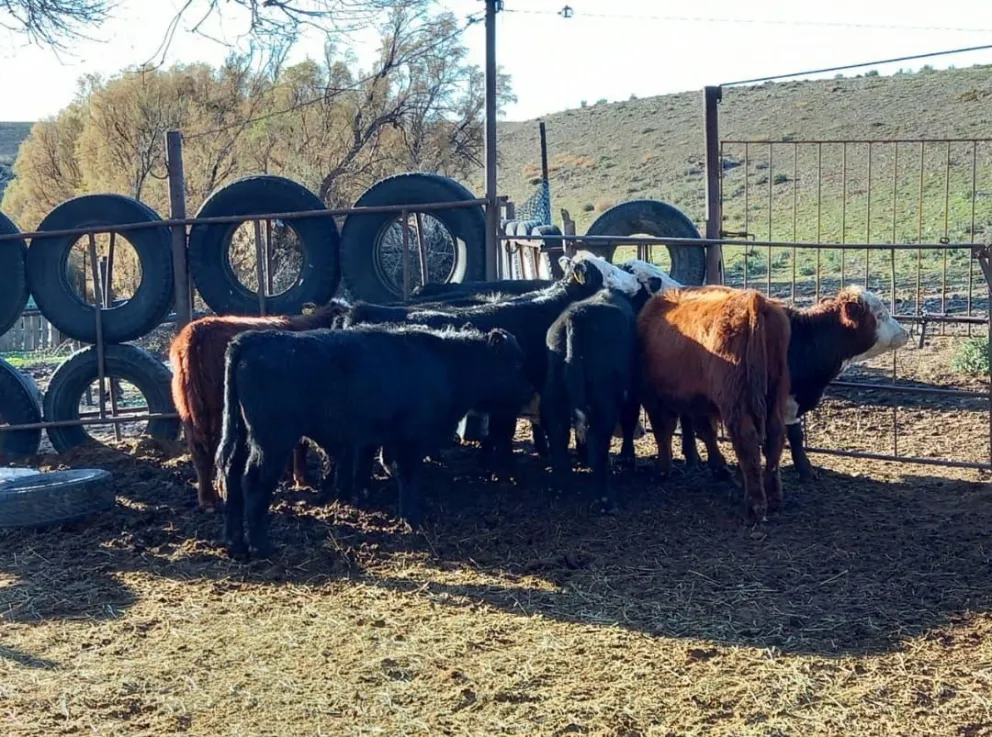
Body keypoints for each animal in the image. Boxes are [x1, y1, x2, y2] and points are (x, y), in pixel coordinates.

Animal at [168, 298, 351, 512]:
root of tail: (194, 332)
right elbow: (301, 445)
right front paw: (302, 480)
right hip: (218, 413)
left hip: (188, 412)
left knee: (199, 453)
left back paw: (206, 499)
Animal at [215, 323, 533, 560]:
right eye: (517, 364)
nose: (530, 393)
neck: (446, 362)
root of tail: (252, 339)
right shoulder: (410, 439)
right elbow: (407, 474)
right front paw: (412, 517)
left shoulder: (392, 439)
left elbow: (394, 469)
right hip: (272, 442)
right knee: (253, 482)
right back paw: (261, 546)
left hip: (243, 437)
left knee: (232, 477)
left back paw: (235, 544)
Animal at [637, 285, 792, 523]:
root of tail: (753, 300)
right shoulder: (698, 400)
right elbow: (706, 432)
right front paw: (718, 467)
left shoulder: (654, 398)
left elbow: (664, 432)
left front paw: (662, 471)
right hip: (775, 391)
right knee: (775, 435)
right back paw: (774, 498)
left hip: (735, 399)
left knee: (746, 439)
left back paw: (754, 506)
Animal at [679, 285, 910, 481]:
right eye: (879, 315)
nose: (905, 333)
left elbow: (795, 435)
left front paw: (803, 469)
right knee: (703, 428)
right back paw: (717, 466)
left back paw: (693, 457)